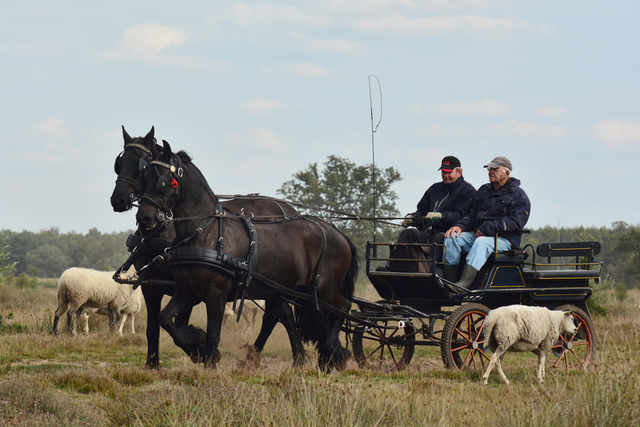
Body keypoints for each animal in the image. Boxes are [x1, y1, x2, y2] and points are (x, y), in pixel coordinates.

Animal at [110, 125, 308, 370]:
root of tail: (289, 210)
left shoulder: (192, 288)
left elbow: (178, 324)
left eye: (142, 165)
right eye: (120, 162)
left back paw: (288, 357)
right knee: (277, 315)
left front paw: (199, 348)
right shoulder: (151, 286)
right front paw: (153, 363)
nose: (118, 200)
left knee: (281, 316)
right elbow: (154, 327)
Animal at [136, 141, 356, 372]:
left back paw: (330, 350)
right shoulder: (190, 290)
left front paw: (209, 364)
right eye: (144, 177)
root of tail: (336, 231)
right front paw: (195, 345)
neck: (206, 231)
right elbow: (165, 319)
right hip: (302, 292)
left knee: (343, 308)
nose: (144, 217)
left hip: (325, 289)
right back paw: (326, 357)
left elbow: (214, 334)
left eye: (162, 181)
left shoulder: (216, 292)